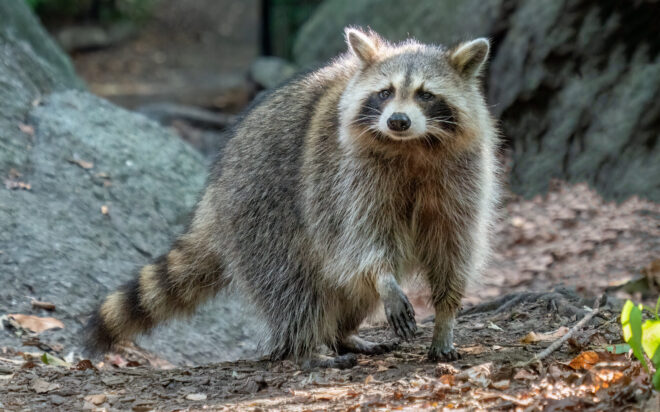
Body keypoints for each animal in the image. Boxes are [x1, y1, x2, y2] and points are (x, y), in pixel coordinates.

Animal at [86, 27, 499, 368]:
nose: (398, 121)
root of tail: (214, 193)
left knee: (347, 289)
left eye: (426, 95)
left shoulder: (462, 176)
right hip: (260, 209)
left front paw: (446, 316)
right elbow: (362, 238)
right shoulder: (346, 176)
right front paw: (385, 279)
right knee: (293, 283)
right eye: (385, 93)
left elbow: (453, 245)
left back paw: (343, 334)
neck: (412, 146)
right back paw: (305, 347)